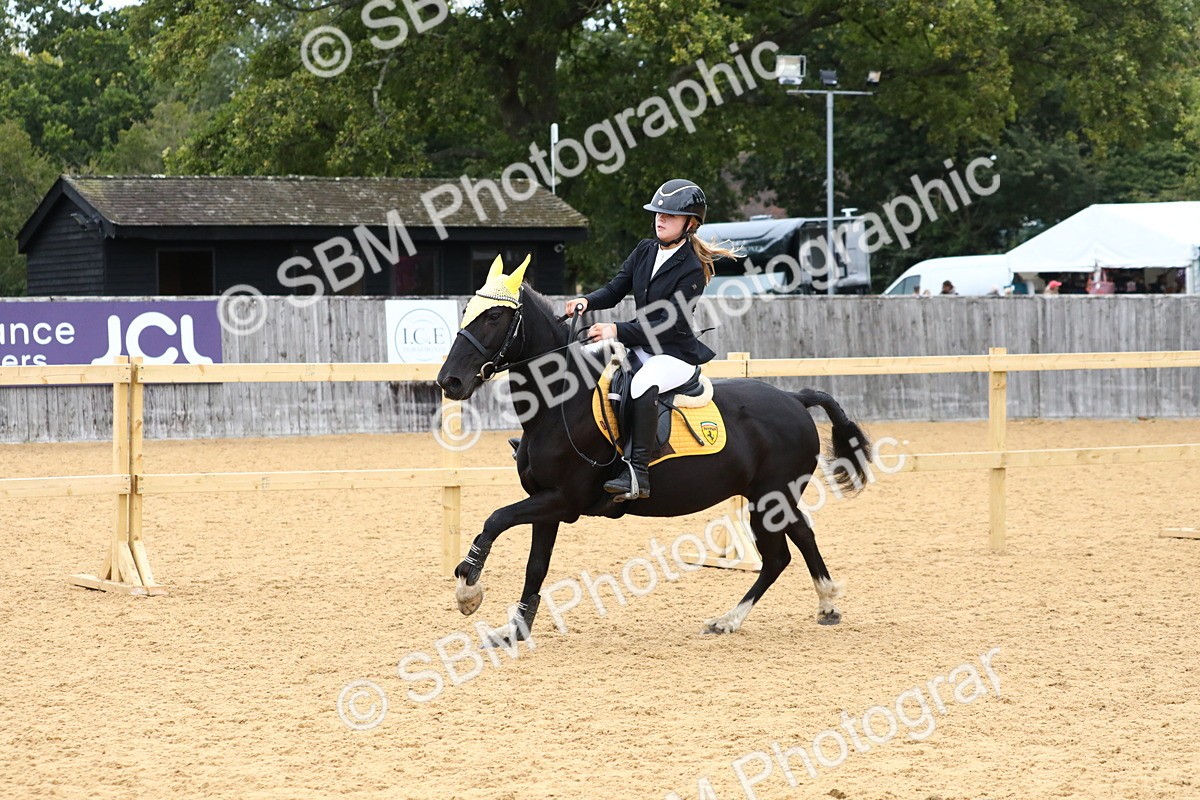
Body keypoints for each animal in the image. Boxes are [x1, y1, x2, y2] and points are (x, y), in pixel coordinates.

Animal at [435, 261, 872, 644]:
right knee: (801, 536)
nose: (449, 381)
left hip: (769, 497)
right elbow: (535, 567)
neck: (560, 404)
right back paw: (826, 605)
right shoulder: (545, 502)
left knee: (778, 556)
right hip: (772, 497)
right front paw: (515, 631)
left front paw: (467, 589)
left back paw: (728, 620)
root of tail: (795, 399)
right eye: (467, 311)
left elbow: (495, 520)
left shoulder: (563, 500)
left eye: (494, 317)